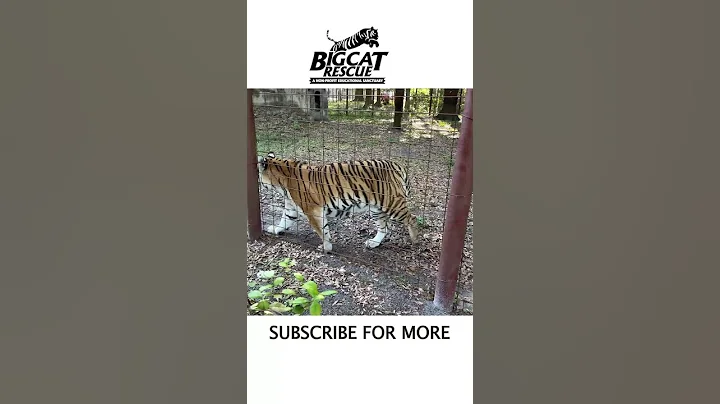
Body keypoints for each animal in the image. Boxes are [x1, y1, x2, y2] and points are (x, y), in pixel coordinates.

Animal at [257, 152, 419, 253]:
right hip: (376, 209)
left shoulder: (313, 210)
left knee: (412, 218)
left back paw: (415, 240)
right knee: (384, 228)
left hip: (392, 203)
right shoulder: (292, 208)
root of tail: (397, 164)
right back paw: (373, 243)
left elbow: (322, 230)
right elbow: (284, 220)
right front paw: (275, 229)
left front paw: (326, 247)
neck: (281, 184)